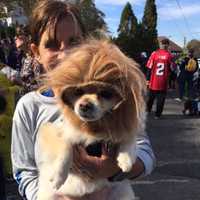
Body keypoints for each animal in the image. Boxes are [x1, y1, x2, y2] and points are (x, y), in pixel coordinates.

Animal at [37, 39, 146, 199]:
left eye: (105, 94)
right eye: (78, 92)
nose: (84, 105)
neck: (92, 128)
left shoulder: (124, 129)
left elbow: (129, 141)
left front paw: (125, 160)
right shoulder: (55, 131)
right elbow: (65, 147)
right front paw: (58, 176)